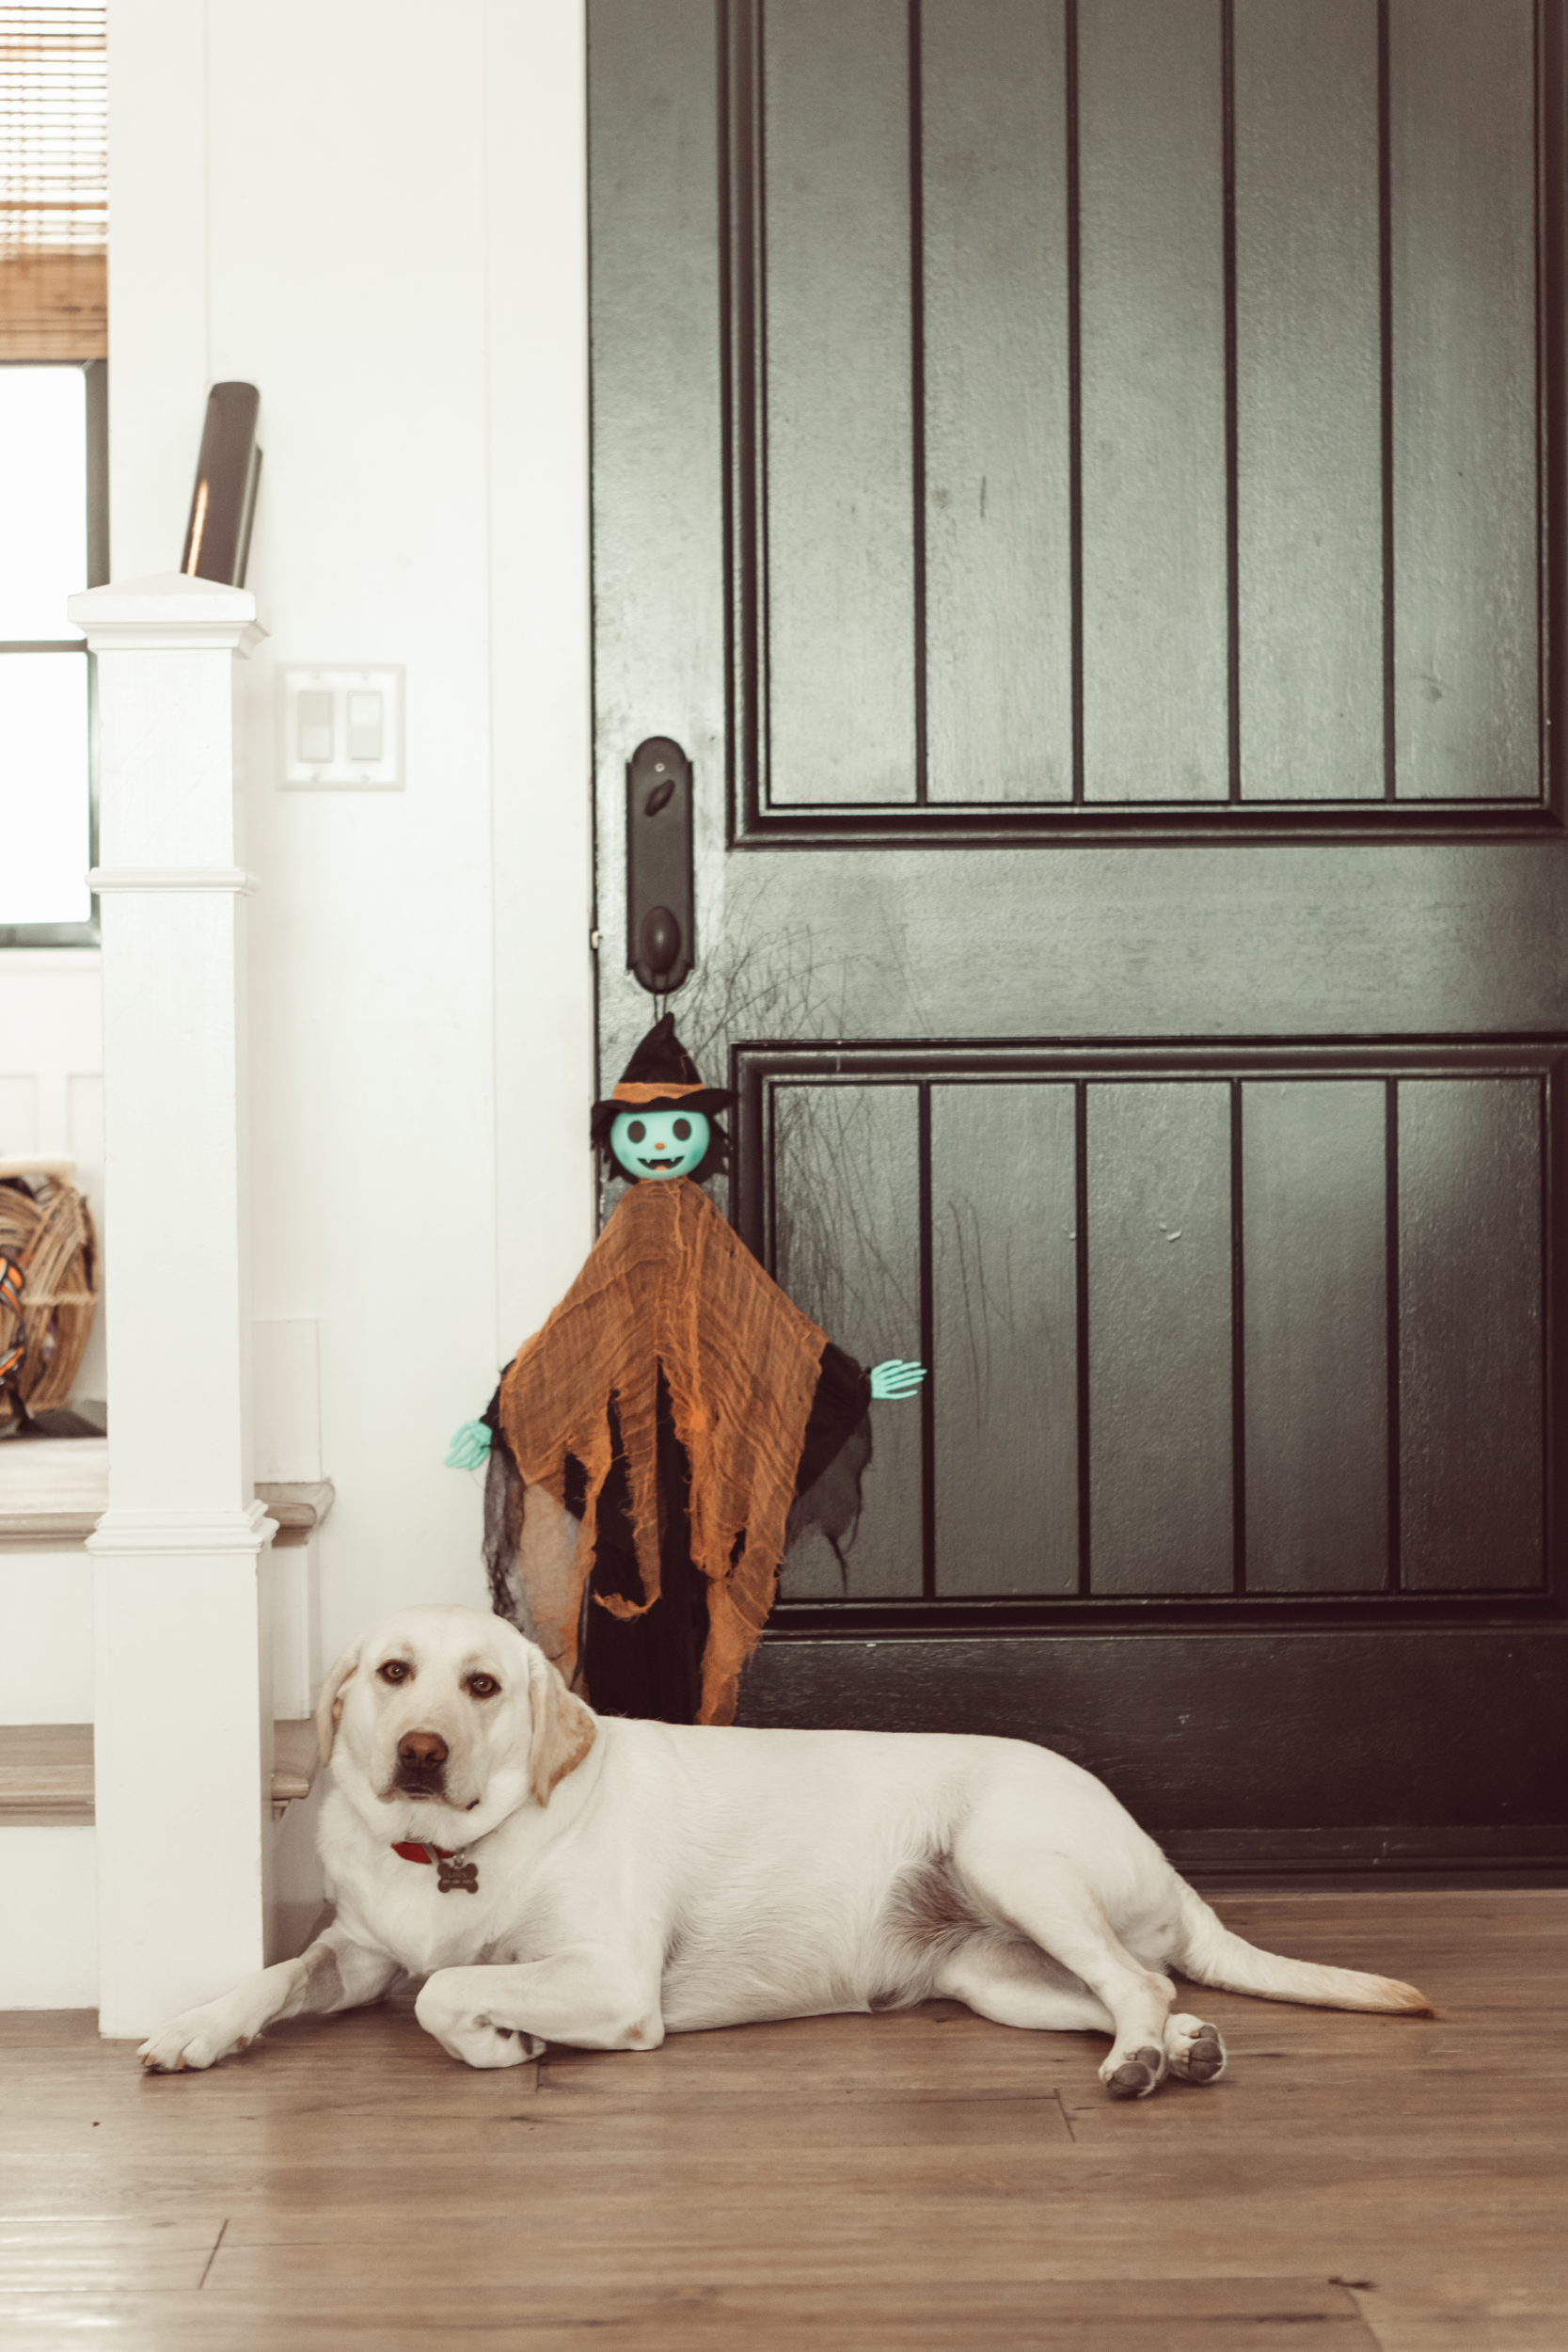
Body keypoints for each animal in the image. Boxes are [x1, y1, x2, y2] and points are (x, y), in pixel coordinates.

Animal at [140, 1599, 1429, 2098]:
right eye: (394, 1672)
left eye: (483, 1686)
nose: (417, 1751)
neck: (446, 1853)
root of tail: (1165, 1863)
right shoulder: (356, 1948)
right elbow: (283, 1972)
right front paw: (194, 2025)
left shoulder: (610, 1978)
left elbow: (444, 1990)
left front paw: (502, 2040)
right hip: (995, 1977)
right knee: (1145, 1992)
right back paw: (1181, 2050)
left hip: (1012, 1860)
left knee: (1139, 1980)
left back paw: (1139, 2063)